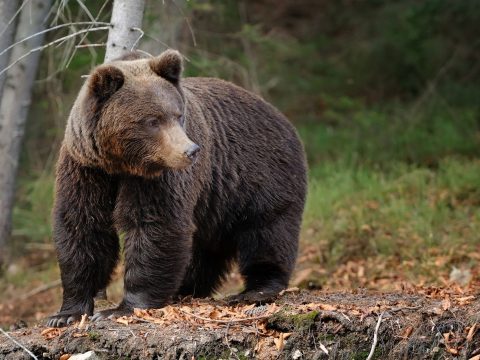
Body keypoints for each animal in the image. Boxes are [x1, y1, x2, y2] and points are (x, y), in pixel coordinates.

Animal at [46, 49, 308, 328]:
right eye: (152, 121)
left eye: (178, 115)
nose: (190, 151)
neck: (122, 164)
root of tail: (282, 117)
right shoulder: (86, 168)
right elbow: (82, 226)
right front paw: (66, 313)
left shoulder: (160, 178)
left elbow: (156, 224)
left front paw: (122, 308)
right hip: (215, 200)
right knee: (203, 247)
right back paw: (185, 288)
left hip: (261, 176)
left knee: (267, 231)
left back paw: (257, 288)